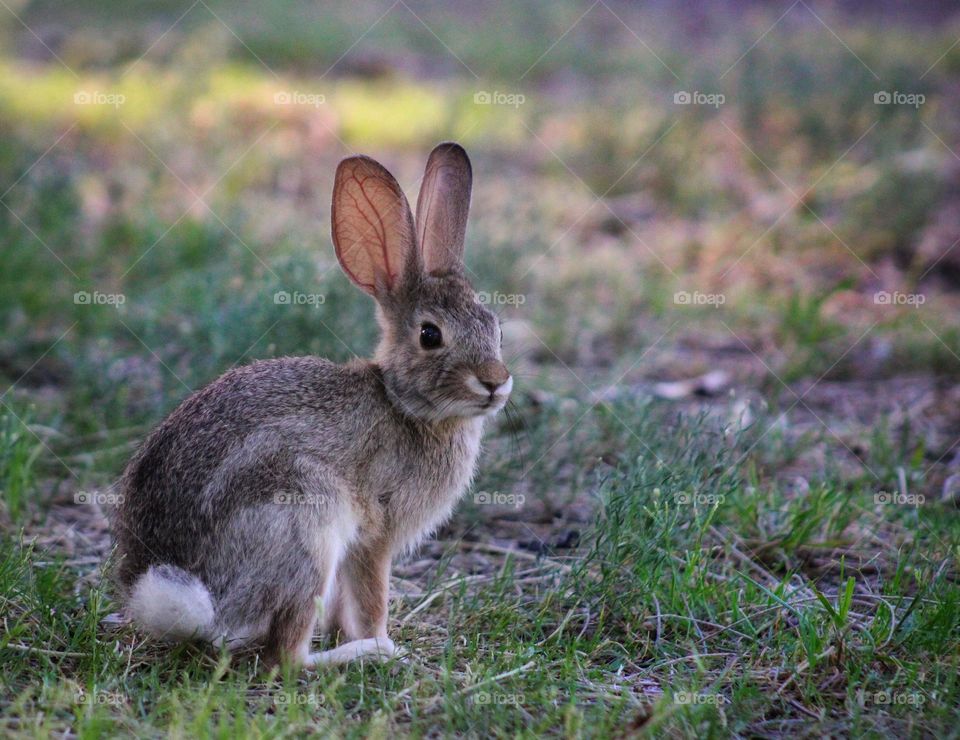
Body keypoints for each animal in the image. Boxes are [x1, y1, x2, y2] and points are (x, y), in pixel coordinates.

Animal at [112, 142, 512, 668]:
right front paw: (385, 641)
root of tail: (199, 604)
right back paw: (366, 653)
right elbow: (372, 597)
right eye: (430, 335)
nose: (496, 383)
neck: (404, 403)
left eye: (495, 327)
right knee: (287, 656)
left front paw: (352, 633)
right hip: (306, 520)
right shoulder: (375, 533)